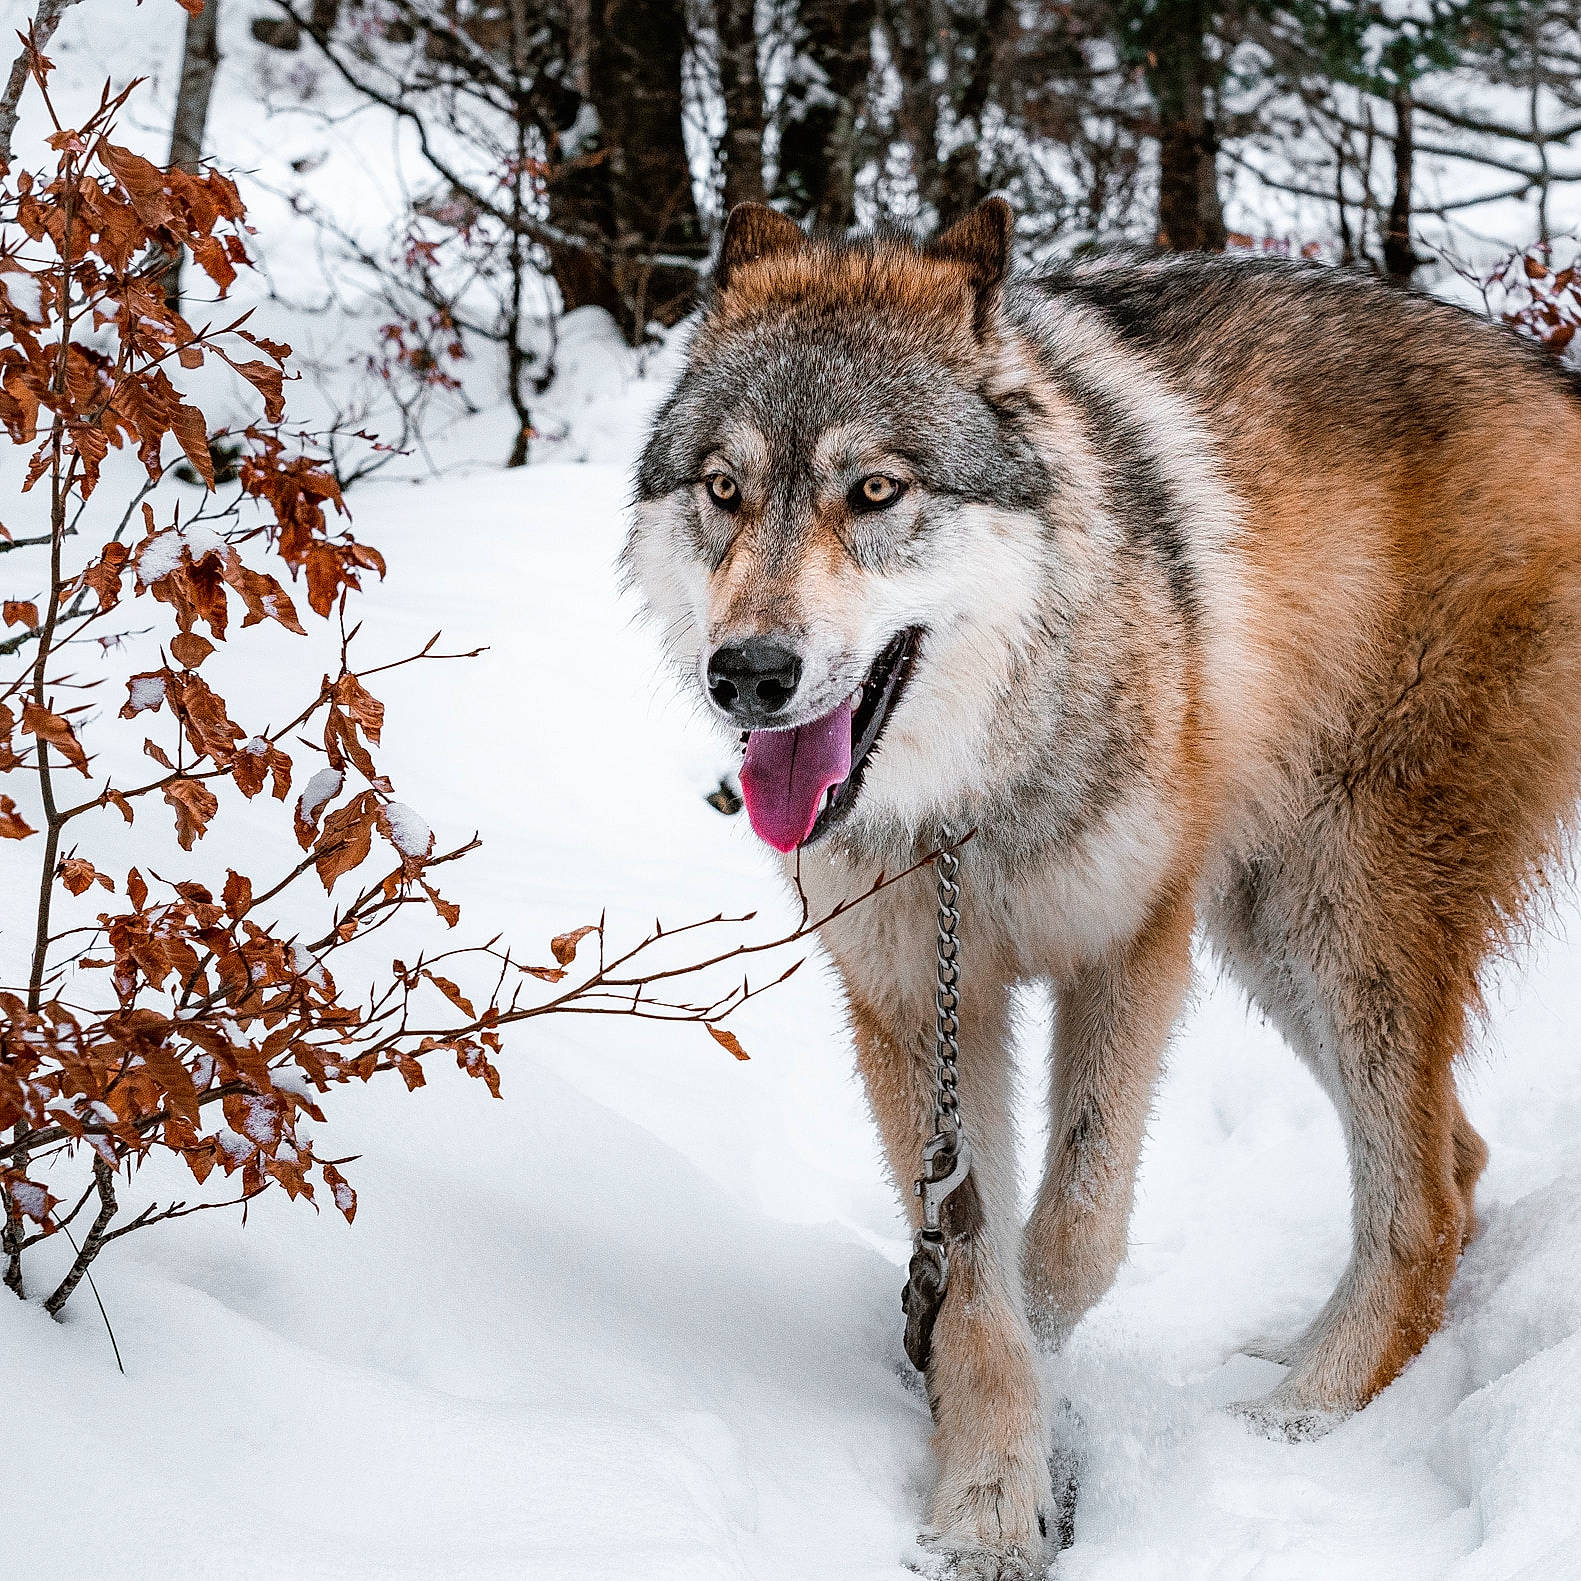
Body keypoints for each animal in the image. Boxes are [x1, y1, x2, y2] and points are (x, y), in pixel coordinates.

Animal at [625, 198, 1581, 1577]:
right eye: (724, 491)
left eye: (876, 491)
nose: (748, 672)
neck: (968, 815)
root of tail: (1554, 381)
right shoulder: (916, 1001)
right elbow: (973, 1269)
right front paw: (987, 1490)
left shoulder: (1130, 948)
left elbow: (1067, 1237)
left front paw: (1026, 1394)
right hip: (1273, 933)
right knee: (1458, 1155)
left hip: (1338, 915)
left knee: (1422, 1204)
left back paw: (1297, 1418)